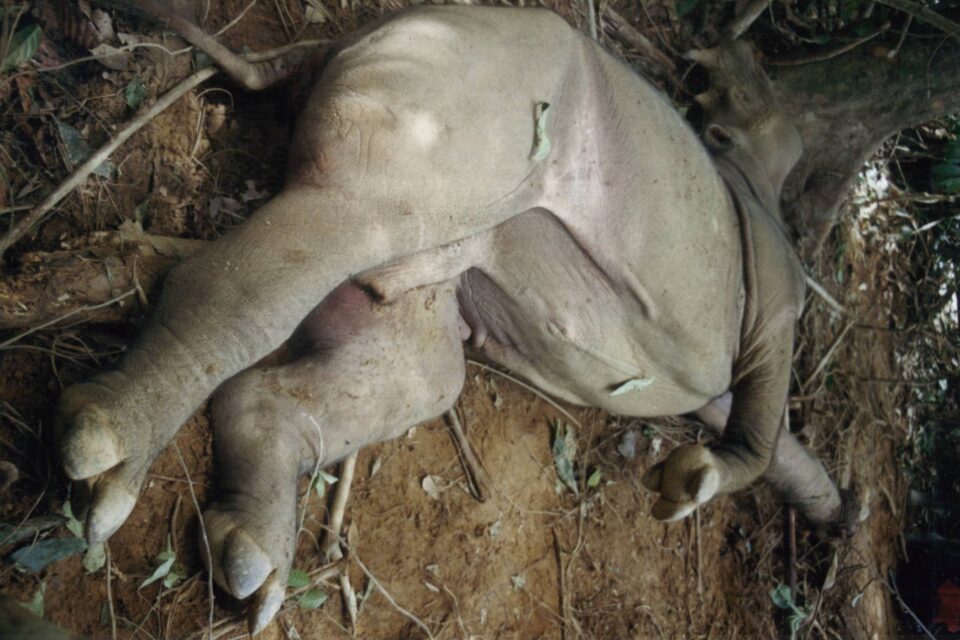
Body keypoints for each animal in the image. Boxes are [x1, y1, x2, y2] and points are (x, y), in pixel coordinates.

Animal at [57, 5, 851, 632]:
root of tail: (358, 32)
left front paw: (793, 501)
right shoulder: (777, 294)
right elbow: (762, 422)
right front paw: (693, 485)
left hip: (456, 175)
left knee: (423, 360)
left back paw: (251, 565)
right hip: (475, 87)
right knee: (365, 223)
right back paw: (104, 466)